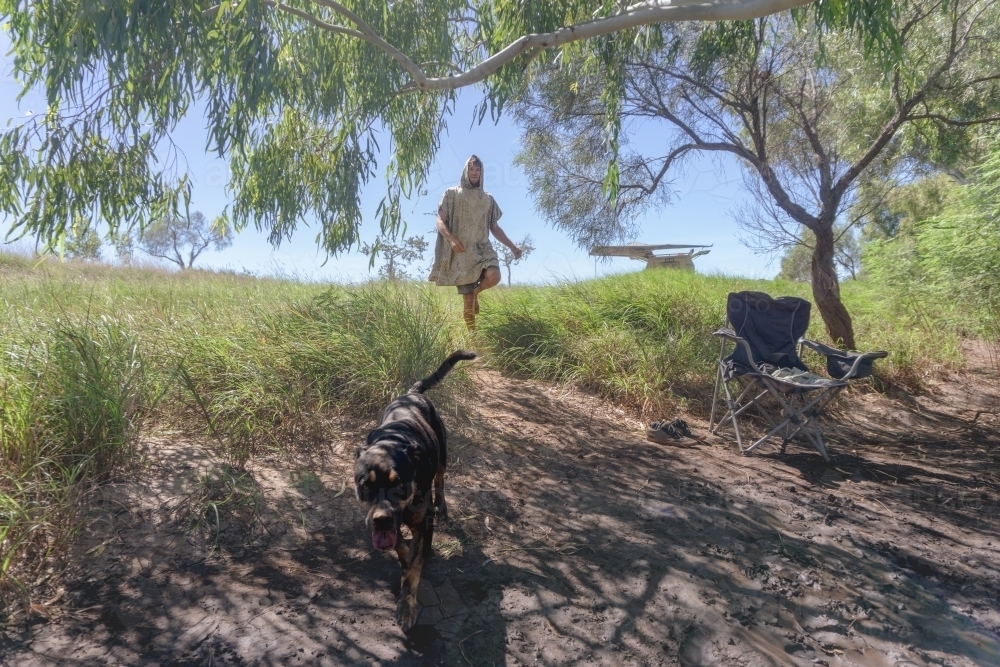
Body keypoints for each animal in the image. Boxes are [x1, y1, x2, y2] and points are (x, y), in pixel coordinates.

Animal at [354, 350, 474, 632]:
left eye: (399, 484)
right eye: (365, 486)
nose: (381, 519)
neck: (391, 442)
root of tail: (413, 393)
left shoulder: (422, 523)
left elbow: (414, 568)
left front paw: (406, 608)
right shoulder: (391, 524)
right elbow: (400, 546)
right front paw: (404, 555)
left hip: (443, 456)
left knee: (440, 481)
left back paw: (442, 506)